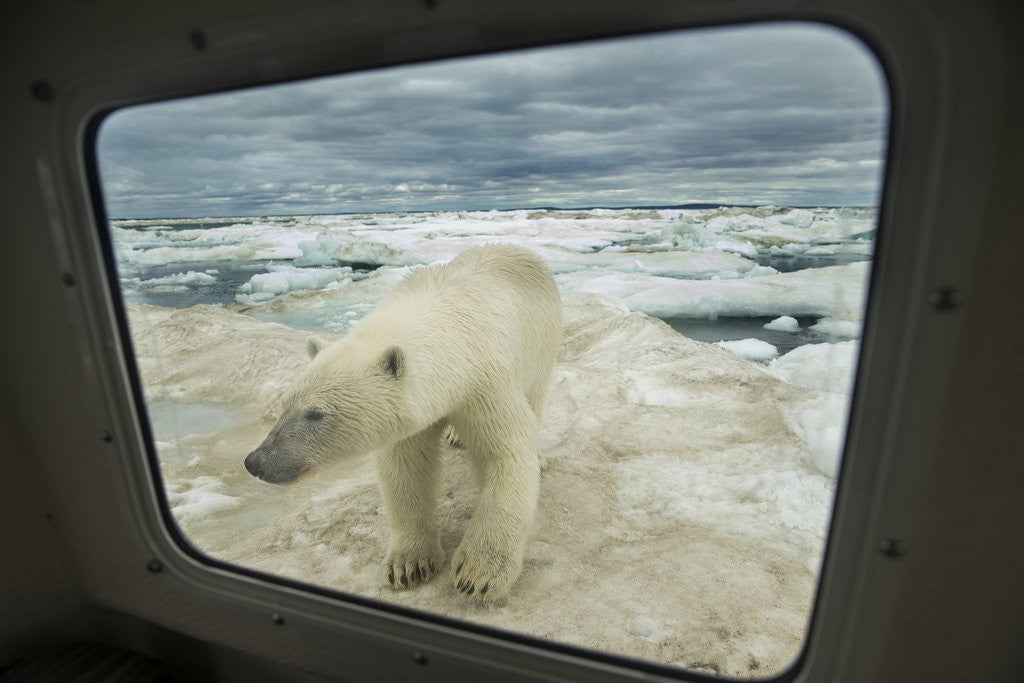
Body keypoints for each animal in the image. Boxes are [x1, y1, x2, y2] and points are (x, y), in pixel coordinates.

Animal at [244, 244, 562, 600]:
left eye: (315, 413)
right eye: (285, 403)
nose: (256, 461)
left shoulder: (484, 382)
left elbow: (506, 455)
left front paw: (478, 574)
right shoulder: (415, 413)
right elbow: (406, 467)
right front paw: (409, 565)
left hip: (541, 343)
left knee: (534, 395)